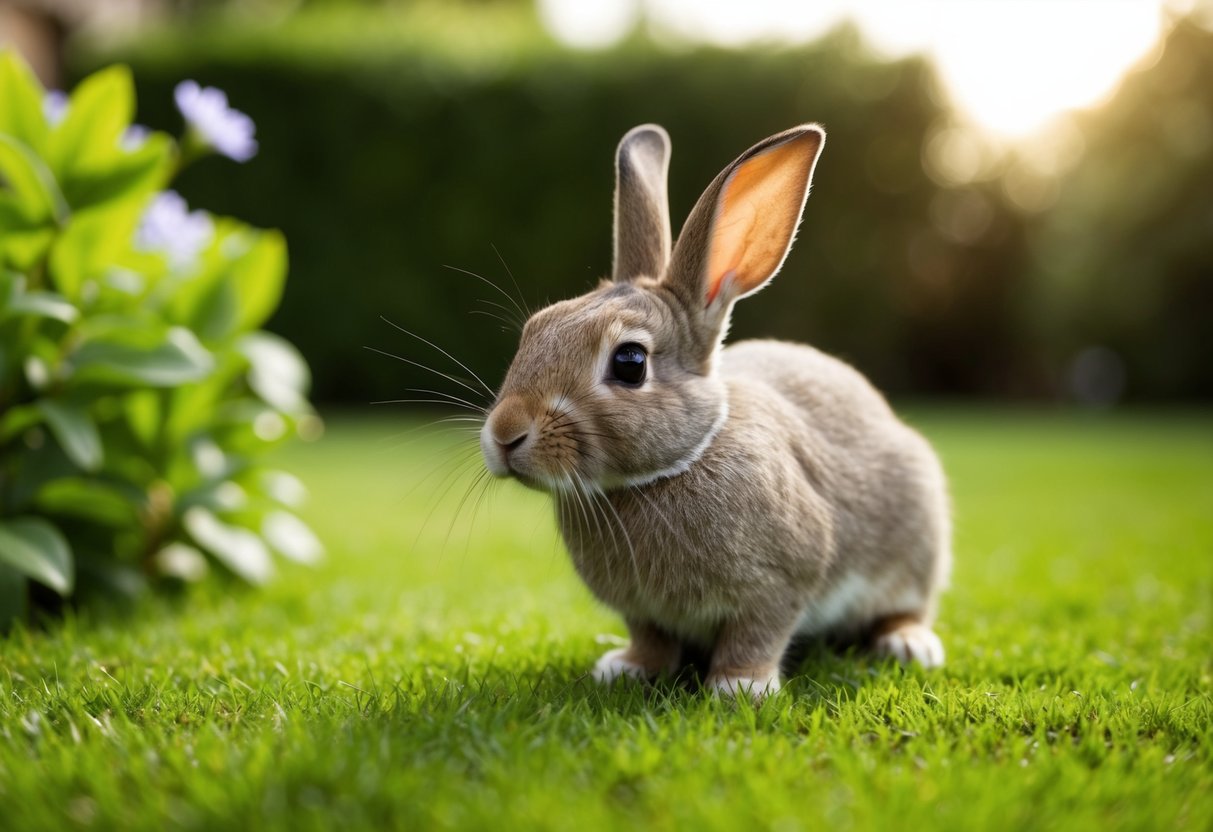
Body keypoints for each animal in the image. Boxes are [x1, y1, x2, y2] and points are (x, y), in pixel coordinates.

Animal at [480, 123, 951, 700]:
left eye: (630, 362)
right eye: (535, 330)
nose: (505, 434)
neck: (669, 469)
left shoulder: (780, 584)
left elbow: (757, 634)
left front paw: (740, 687)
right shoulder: (643, 612)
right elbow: (651, 639)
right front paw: (628, 668)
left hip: (916, 540)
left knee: (907, 606)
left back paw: (909, 644)